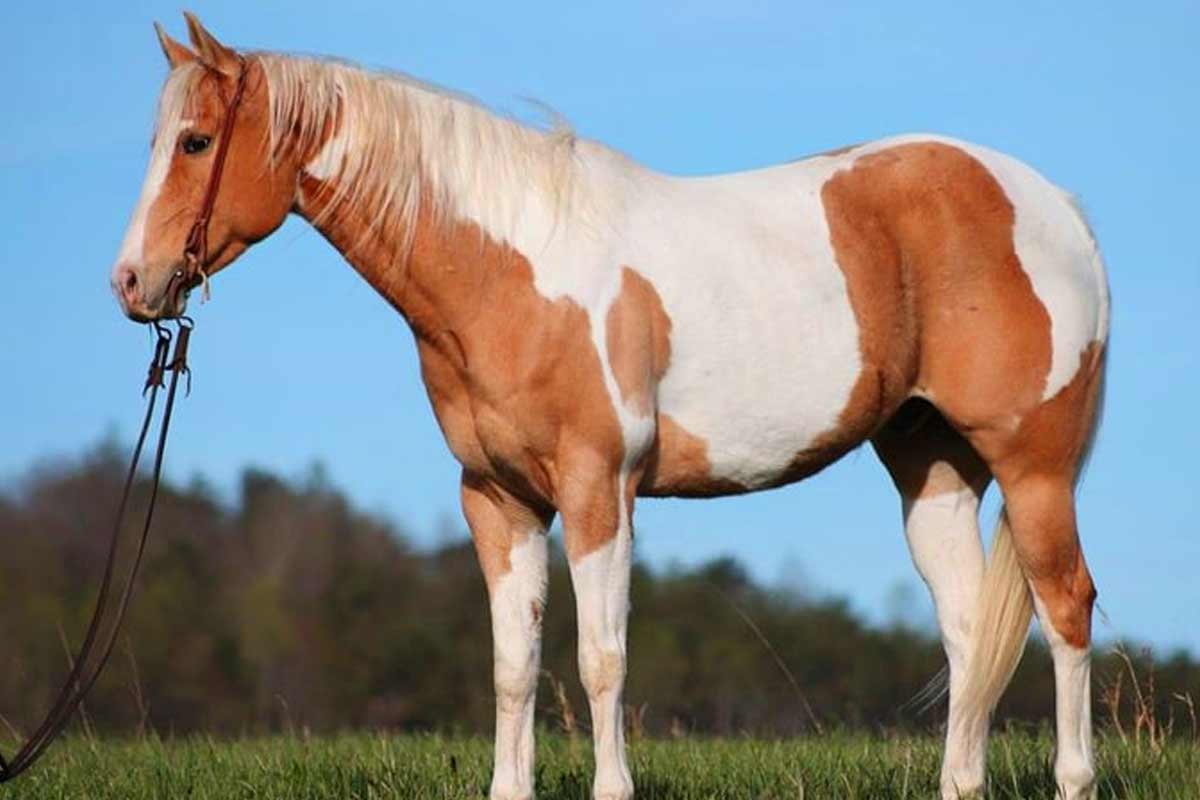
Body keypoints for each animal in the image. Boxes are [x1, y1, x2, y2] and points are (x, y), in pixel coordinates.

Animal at [111, 15, 1110, 800]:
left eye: (195, 142)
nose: (131, 283)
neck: (509, 268)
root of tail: (1056, 207)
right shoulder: (498, 499)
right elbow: (515, 667)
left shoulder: (599, 489)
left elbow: (601, 658)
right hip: (932, 465)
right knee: (969, 634)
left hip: (1034, 468)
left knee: (1065, 607)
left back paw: (1074, 777)